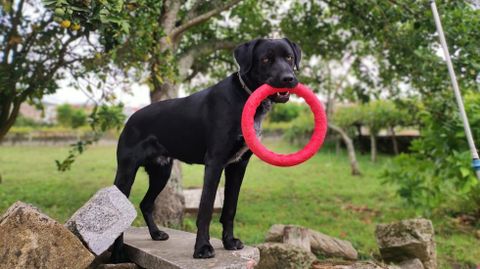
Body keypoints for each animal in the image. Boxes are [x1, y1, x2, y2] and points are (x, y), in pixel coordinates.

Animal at [111, 37, 302, 260]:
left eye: (289, 57)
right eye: (265, 59)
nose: (288, 78)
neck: (243, 97)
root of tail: (130, 119)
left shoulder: (239, 164)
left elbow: (230, 208)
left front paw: (229, 242)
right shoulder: (215, 163)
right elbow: (206, 209)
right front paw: (202, 248)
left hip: (161, 172)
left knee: (146, 203)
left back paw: (156, 233)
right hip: (126, 172)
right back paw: (118, 254)